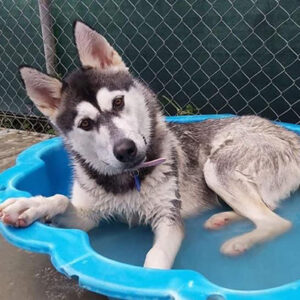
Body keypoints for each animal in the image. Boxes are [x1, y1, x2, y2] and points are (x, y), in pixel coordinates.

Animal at [0, 21, 300, 270]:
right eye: (85, 123)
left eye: (118, 102)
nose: (126, 150)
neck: (128, 180)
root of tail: (289, 133)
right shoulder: (88, 217)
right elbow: (62, 200)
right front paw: (30, 206)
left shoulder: (168, 219)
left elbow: (156, 259)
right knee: (267, 209)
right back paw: (223, 219)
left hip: (217, 168)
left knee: (277, 221)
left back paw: (239, 242)